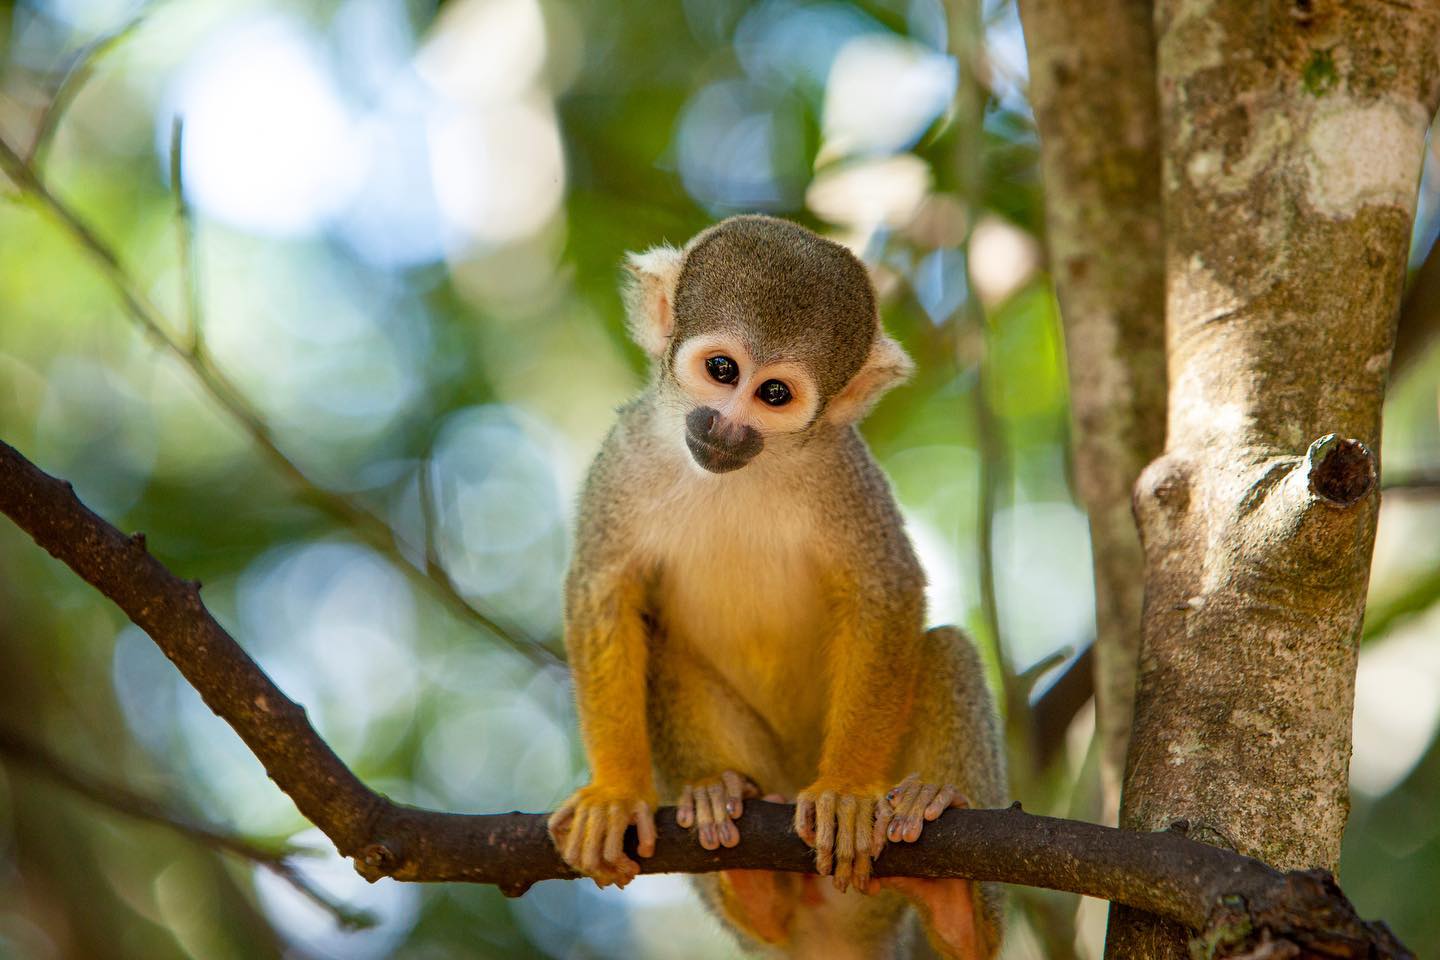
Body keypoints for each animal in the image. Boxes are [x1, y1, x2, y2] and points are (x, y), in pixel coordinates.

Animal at [547, 215, 1006, 959]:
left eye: (773, 396)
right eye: (722, 371)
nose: (725, 427)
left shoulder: (843, 467)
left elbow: (886, 590)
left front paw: (846, 792)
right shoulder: (625, 452)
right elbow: (603, 591)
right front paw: (615, 792)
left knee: (945, 650)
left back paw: (952, 898)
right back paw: (738, 851)